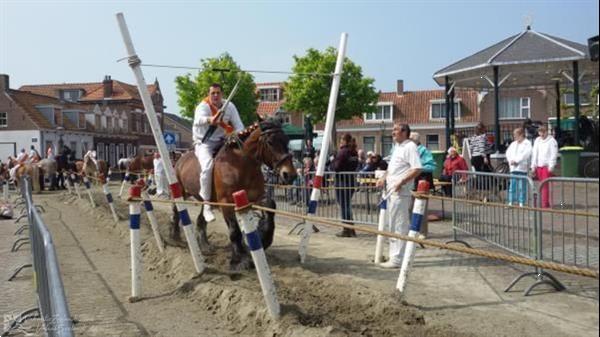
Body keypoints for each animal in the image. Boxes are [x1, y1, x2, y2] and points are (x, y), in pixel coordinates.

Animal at [172, 118, 296, 270]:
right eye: (270, 142)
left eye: (287, 140)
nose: (290, 175)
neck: (241, 165)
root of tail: (180, 158)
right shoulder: (226, 203)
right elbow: (234, 231)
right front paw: (239, 259)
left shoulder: (254, 199)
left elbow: (270, 204)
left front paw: (265, 238)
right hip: (180, 192)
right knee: (176, 213)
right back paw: (175, 239)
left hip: (205, 200)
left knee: (201, 219)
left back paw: (205, 246)